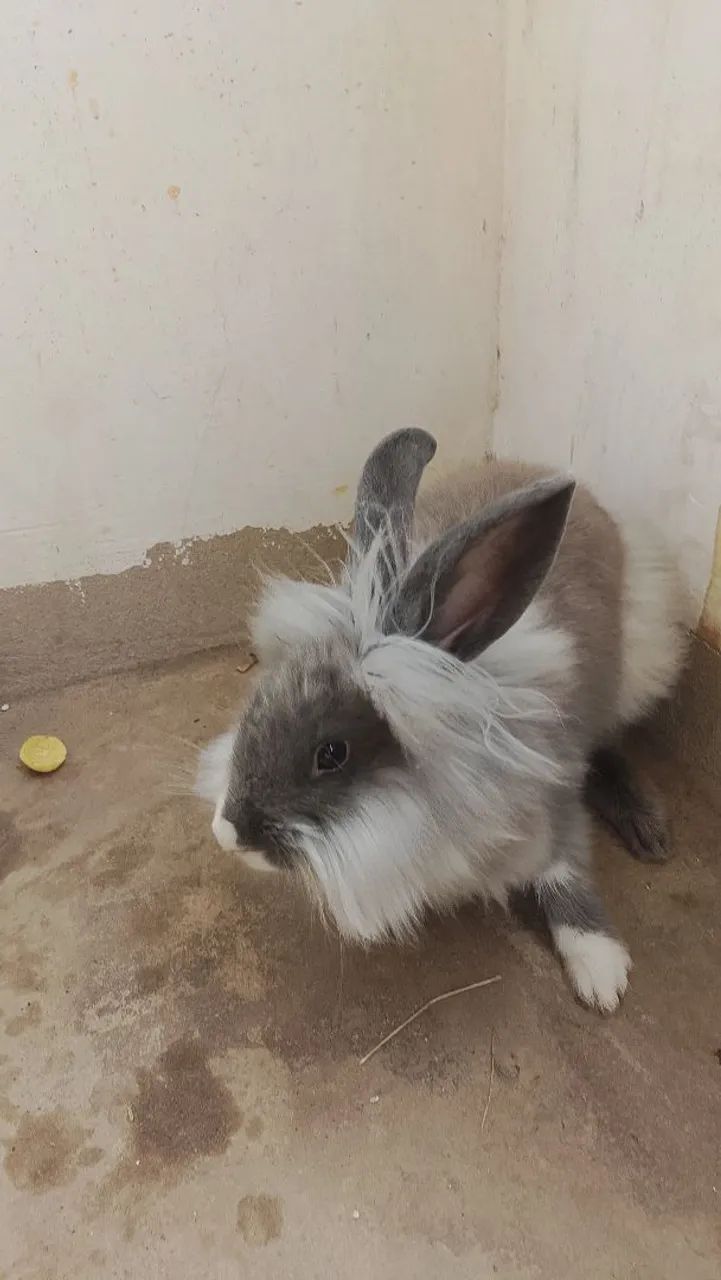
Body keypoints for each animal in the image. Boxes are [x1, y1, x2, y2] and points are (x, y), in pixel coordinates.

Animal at [196, 430, 689, 1012]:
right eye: (260, 698)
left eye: (331, 755)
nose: (228, 833)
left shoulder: (554, 796)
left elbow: (566, 869)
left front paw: (601, 970)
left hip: (640, 664)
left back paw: (647, 828)